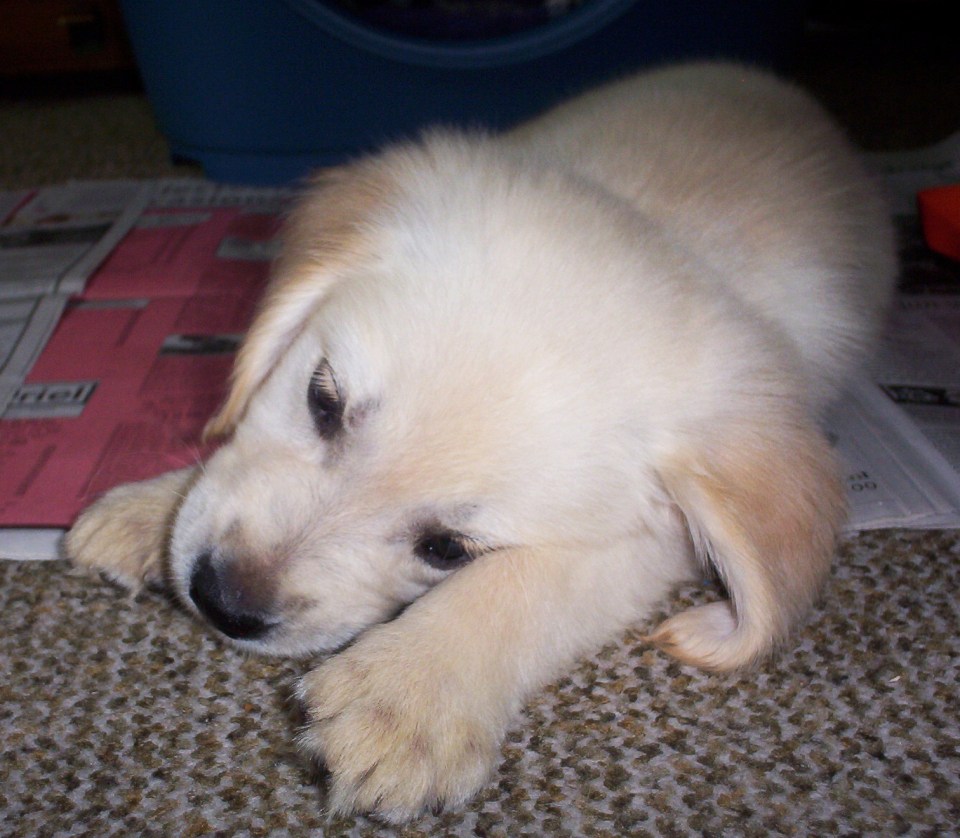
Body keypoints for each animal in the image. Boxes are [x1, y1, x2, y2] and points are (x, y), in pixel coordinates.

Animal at [65, 62, 896, 821]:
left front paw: (409, 695)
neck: (657, 215)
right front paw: (150, 509)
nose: (222, 600)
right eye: (322, 401)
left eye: (448, 550)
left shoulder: (656, 538)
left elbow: (531, 584)